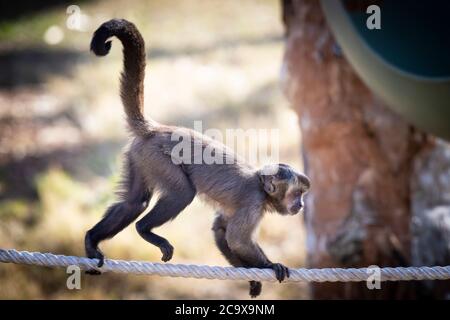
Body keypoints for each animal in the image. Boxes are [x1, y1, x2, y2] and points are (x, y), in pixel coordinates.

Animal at [83, 18, 310, 296]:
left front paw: (253, 279)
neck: (260, 184)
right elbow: (237, 240)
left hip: (140, 155)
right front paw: (270, 265)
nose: (301, 205)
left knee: (134, 203)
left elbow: (220, 231)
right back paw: (144, 229)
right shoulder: (254, 203)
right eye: (296, 194)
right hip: (158, 157)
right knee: (183, 193)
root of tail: (157, 128)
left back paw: (92, 240)